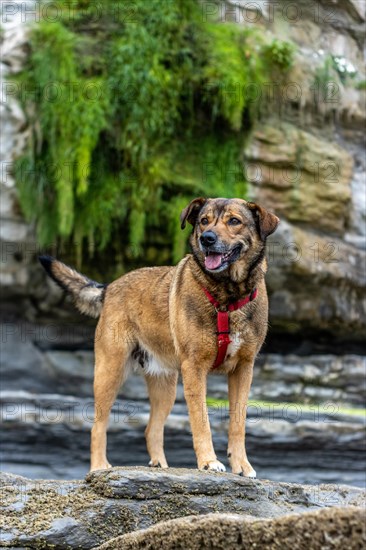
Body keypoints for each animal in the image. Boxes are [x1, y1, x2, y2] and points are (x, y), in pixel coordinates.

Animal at [40, 198, 278, 478]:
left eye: (234, 221)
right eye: (204, 221)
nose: (207, 239)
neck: (228, 296)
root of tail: (110, 287)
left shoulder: (243, 369)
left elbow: (238, 423)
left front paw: (241, 465)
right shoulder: (195, 369)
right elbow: (201, 421)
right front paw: (208, 462)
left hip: (165, 385)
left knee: (151, 429)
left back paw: (160, 467)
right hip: (110, 371)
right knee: (98, 426)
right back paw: (99, 467)